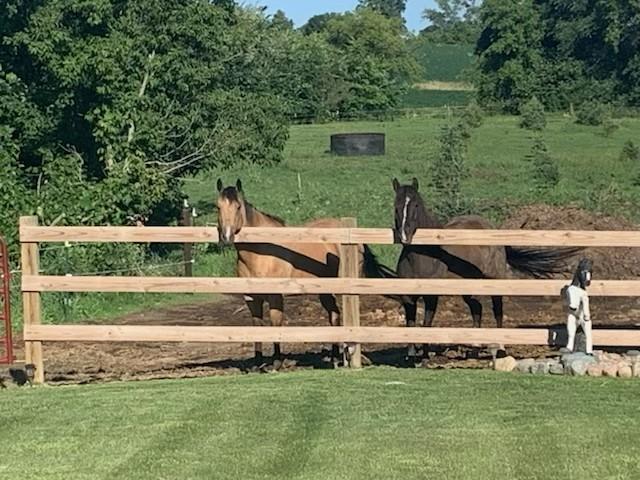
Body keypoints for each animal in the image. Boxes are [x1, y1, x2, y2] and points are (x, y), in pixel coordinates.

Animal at [216, 178, 394, 367]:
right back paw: (334, 358)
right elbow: (257, 327)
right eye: (218, 207)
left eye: (238, 207)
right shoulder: (251, 298)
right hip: (325, 292)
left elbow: (275, 324)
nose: (226, 237)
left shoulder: (275, 296)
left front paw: (276, 363)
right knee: (334, 316)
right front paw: (257, 363)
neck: (262, 251)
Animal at [392, 177, 580, 360]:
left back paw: (500, 347)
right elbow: (410, 324)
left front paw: (423, 356)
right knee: (477, 309)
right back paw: (475, 348)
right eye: (396, 206)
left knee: (497, 310)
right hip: (468, 288)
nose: (405, 235)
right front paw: (411, 355)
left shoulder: (431, 296)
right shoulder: (408, 297)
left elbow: (427, 324)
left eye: (416, 205)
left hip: (494, 282)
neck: (424, 256)